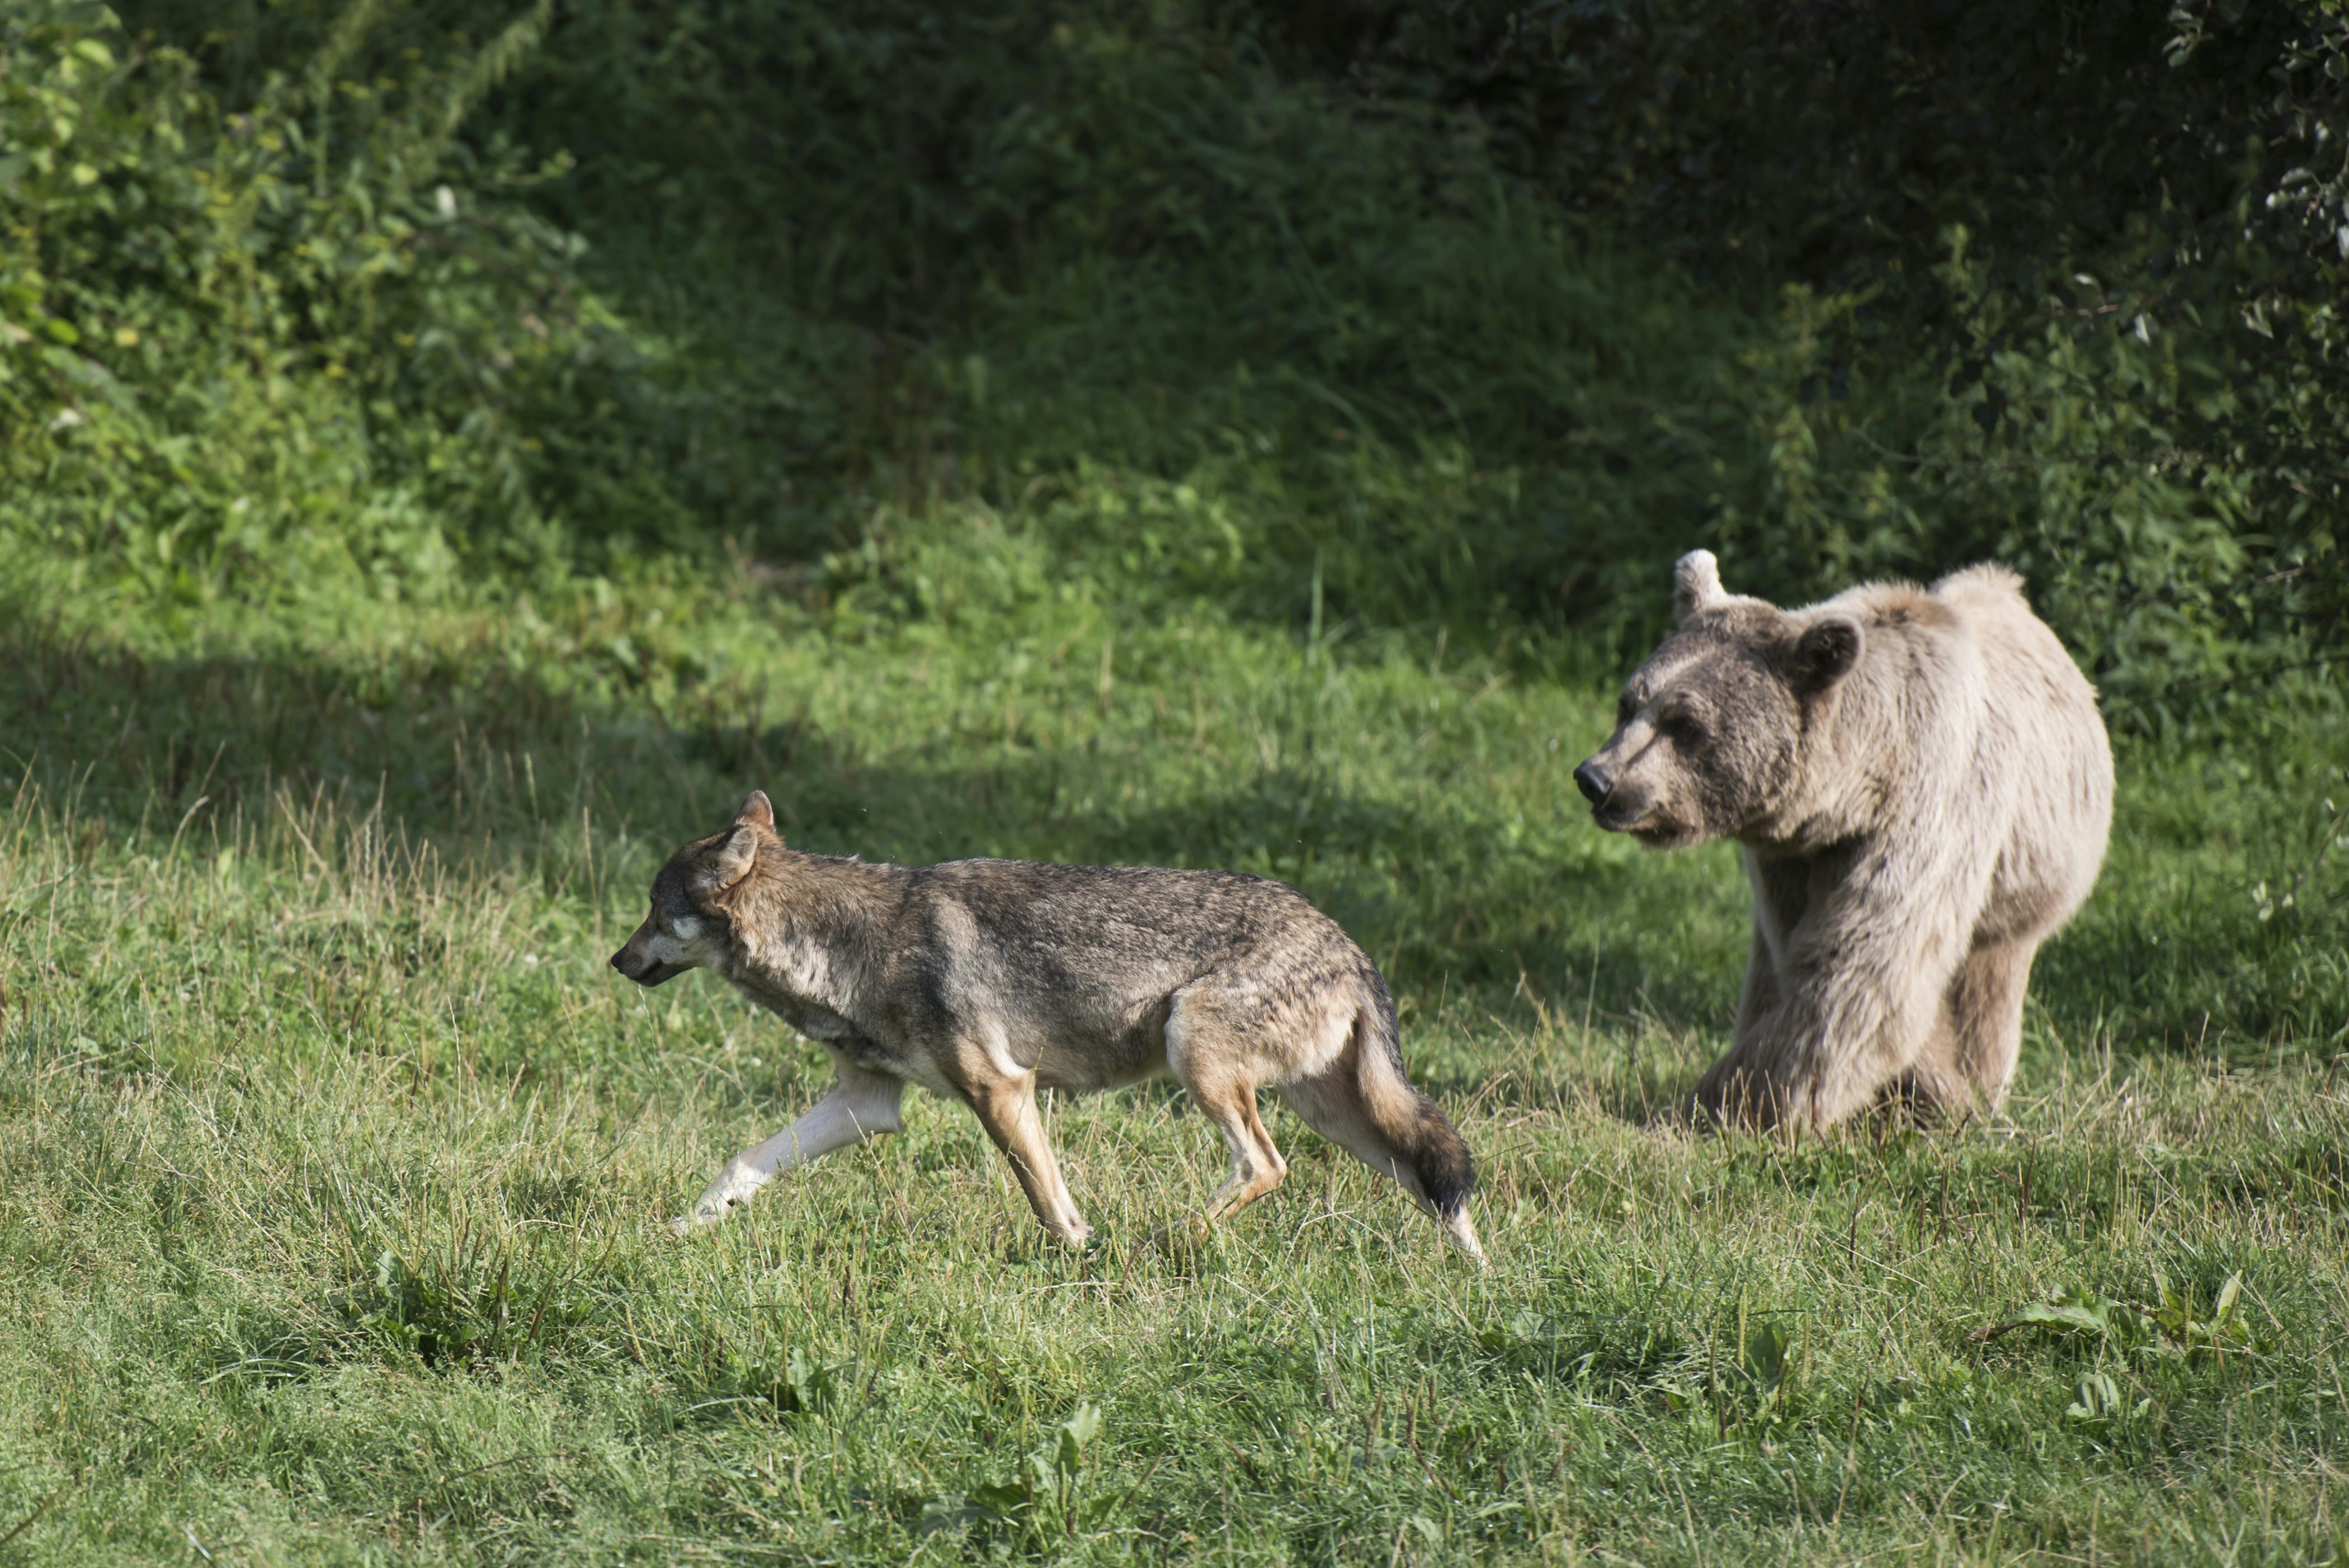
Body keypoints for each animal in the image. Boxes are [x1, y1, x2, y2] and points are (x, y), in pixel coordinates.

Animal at [609, 792, 1484, 1261]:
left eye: (653, 908)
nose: (616, 959)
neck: (848, 942)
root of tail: (1348, 945)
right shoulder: (866, 1104)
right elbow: (742, 1164)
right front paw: (679, 1230)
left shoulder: (1002, 1090)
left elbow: (1047, 1202)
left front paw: (1084, 1255)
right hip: (1338, 1117)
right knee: (1435, 1176)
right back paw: (1481, 1284)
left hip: (1199, 1057)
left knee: (1268, 1166)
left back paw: (1168, 1238)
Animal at [1571, 549, 2114, 1130]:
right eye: (1629, 702)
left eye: (1685, 722)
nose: (1597, 779)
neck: (1860, 786)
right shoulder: (1790, 860)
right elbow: (1811, 958)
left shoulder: (1929, 810)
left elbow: (1861, 966)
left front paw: (1722, 1106)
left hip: (2031, 879)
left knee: (1988, 987)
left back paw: (1980, 1088)